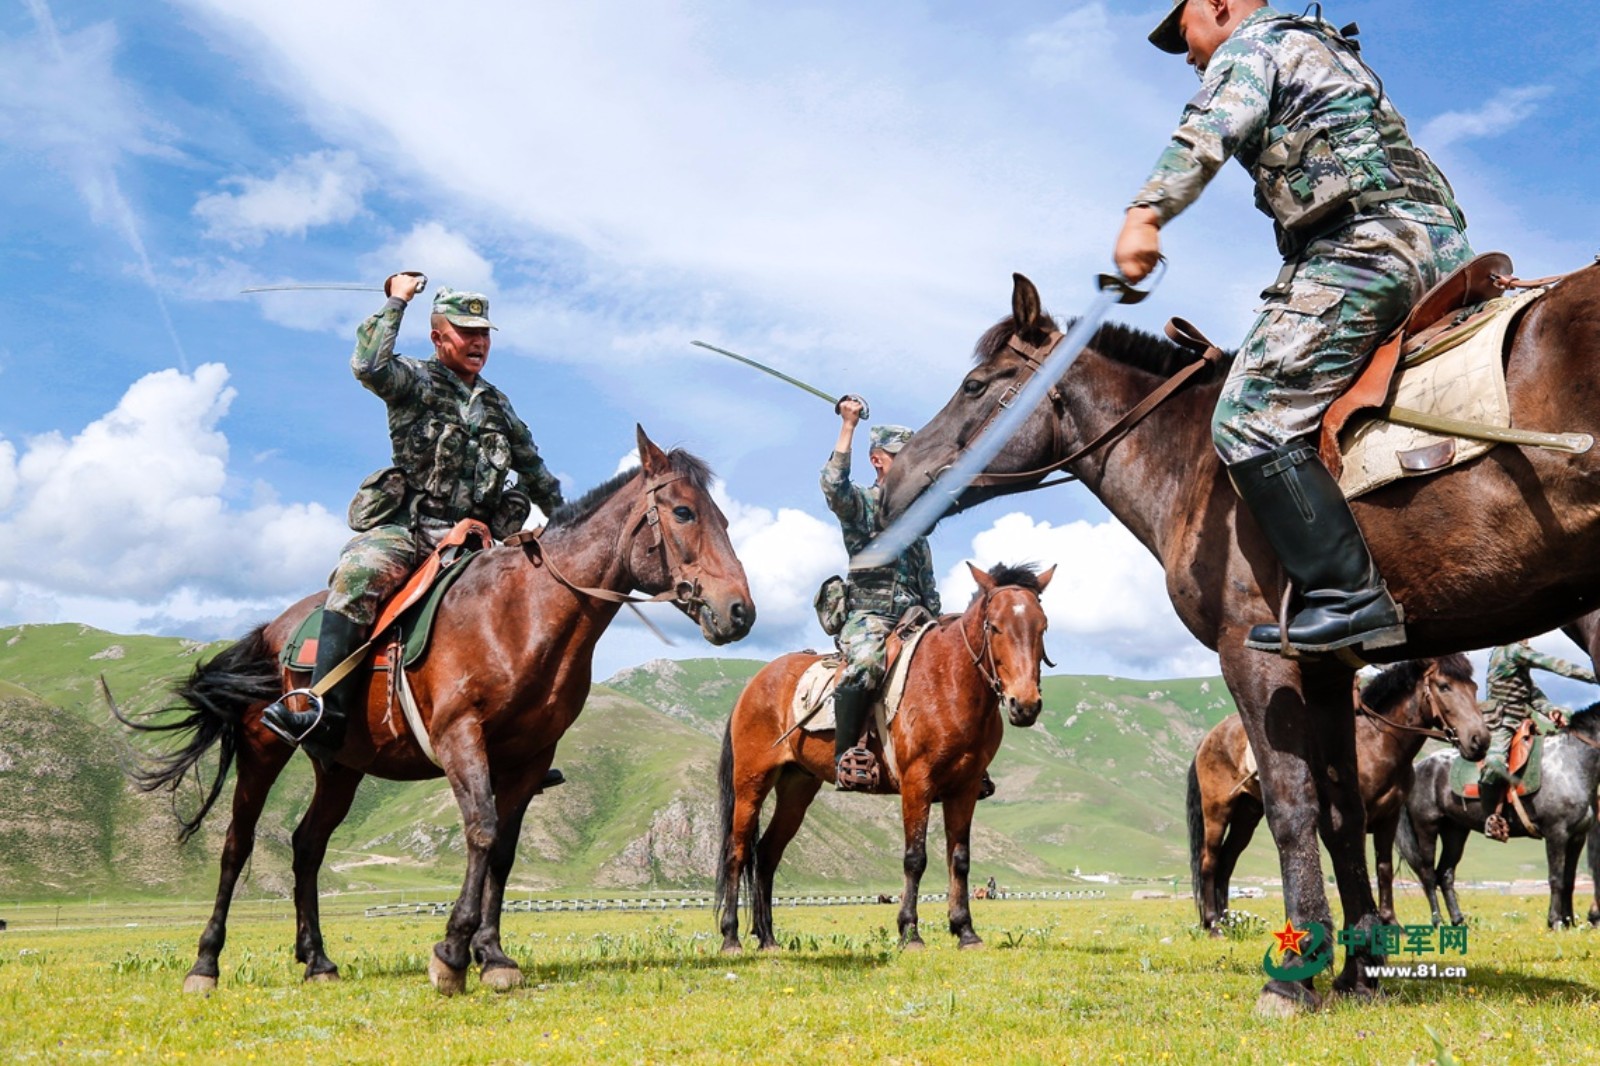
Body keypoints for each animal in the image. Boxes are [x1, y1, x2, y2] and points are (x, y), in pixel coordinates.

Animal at [118, 428, 755, 992]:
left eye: (724, 519)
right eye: (682, 513)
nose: (740, 611)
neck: (523, 613)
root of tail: (271, 631)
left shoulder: (529, 757)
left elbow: (503, 850)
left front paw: (493, 956)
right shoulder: (460, 736)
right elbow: (481, 830)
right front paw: (451, 954)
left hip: (340, 767)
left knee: (306, 846)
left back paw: (317, 960)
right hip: (264, 749)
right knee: (237, 845)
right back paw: (205, 966)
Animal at [720, 560, 1056, 947]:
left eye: (1042, 626)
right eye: (994, 626)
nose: (1025, 704)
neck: (950, 682)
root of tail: (754, 685)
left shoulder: (965, 788)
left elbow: (960, 858)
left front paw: (965, 930)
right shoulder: (917, 783)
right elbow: (915, 858)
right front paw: (910, 932)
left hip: (797, 788)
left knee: (767, 854)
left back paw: (768, 938)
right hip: (751, 783)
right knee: (737, 852)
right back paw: (730, 937)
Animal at [1190, 653, 1484, 934]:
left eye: (1473, 687)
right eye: (1444, 686)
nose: (1479, 740)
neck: (1376, 743)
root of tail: (1208, 739)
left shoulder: (1387, 819)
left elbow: (1384, 869)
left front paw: (1392, 924)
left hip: (1247, 814)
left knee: (1227, 861)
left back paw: (1227, 922)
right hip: (1217, 810)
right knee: (1210, 860)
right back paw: (1213, 924)